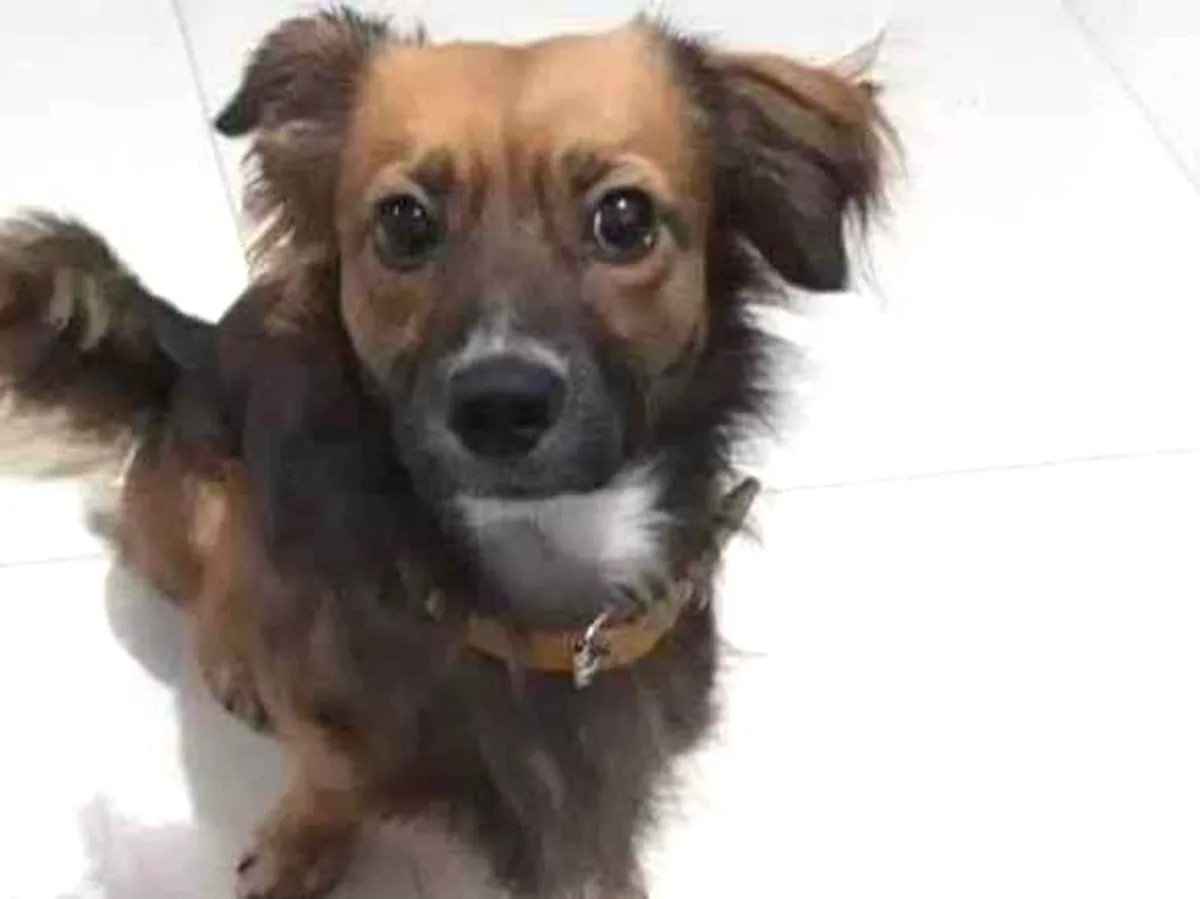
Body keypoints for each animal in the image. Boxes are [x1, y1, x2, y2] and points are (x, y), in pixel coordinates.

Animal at [0, 8, 889, 898]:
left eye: (625, 218)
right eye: (404, 222)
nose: (501, 404)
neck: (539, 569)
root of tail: (192, 348)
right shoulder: (322, 677)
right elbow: (328, 770)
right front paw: (300, 845)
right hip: (194, 509)